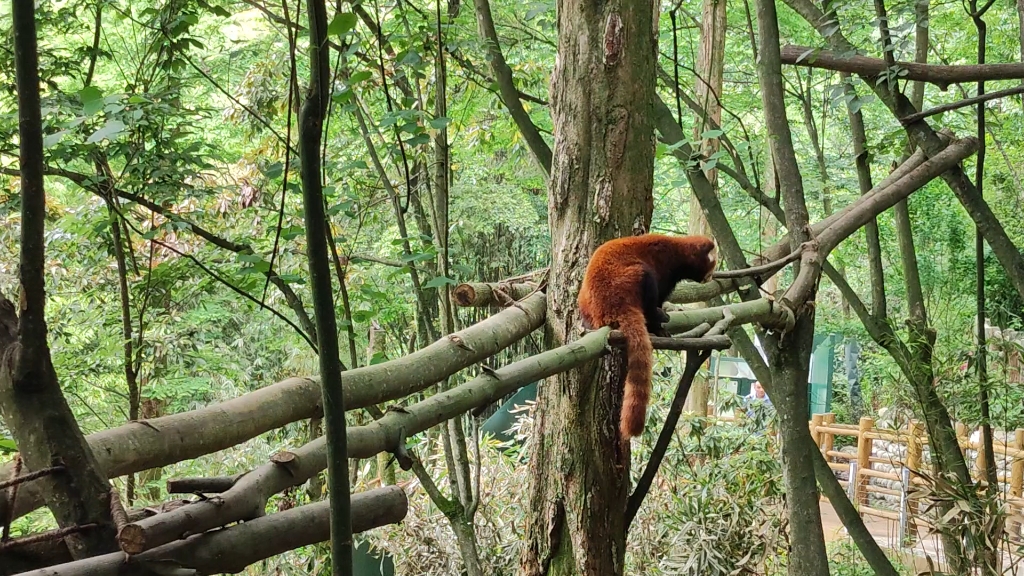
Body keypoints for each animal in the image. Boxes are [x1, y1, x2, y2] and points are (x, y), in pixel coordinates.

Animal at [581, 233, 716, 438]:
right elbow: (659, 294)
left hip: (585, 298)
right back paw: (658, 317)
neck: (677, 249)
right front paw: (659, 325)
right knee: (647, 285)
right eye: (712, 265)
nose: (711, 277)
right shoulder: (664, 267)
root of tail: (610, 306)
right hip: (628, 277)